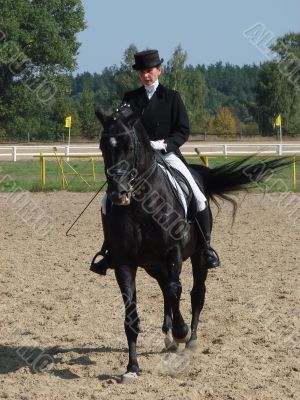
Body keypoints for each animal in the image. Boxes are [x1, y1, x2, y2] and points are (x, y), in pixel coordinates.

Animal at [94, 104, 290, 380]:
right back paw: (168, 337)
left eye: (129, 146)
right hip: (153, 265)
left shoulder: (173, 251)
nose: (118, 193)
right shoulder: (124, 262)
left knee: (194, 293)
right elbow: (131, 312)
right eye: (103, 146)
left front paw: (181, 331)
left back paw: (189, 338)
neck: (141, 206)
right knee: (166, 288)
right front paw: (132, 368)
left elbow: (176, 290)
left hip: (197, 257)